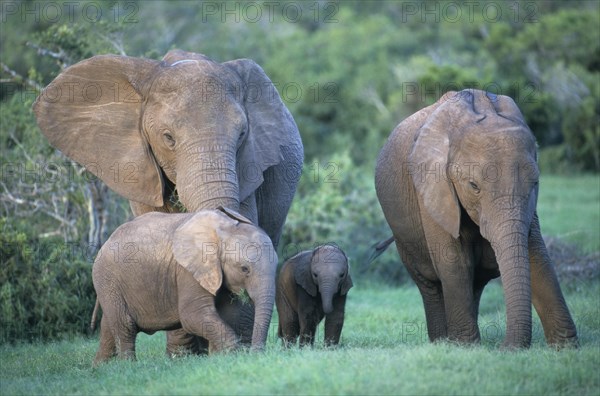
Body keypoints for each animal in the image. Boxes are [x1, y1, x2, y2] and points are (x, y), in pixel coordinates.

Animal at [376, 90, 576, 350]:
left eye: (535, 183)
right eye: (473, 186)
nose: (504, 347)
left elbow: (536, 253)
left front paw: (566, 348)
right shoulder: (431, 187)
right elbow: (453, 259)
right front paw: (465, 348)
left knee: (475, 283)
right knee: (430, 285)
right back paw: (442, 342)